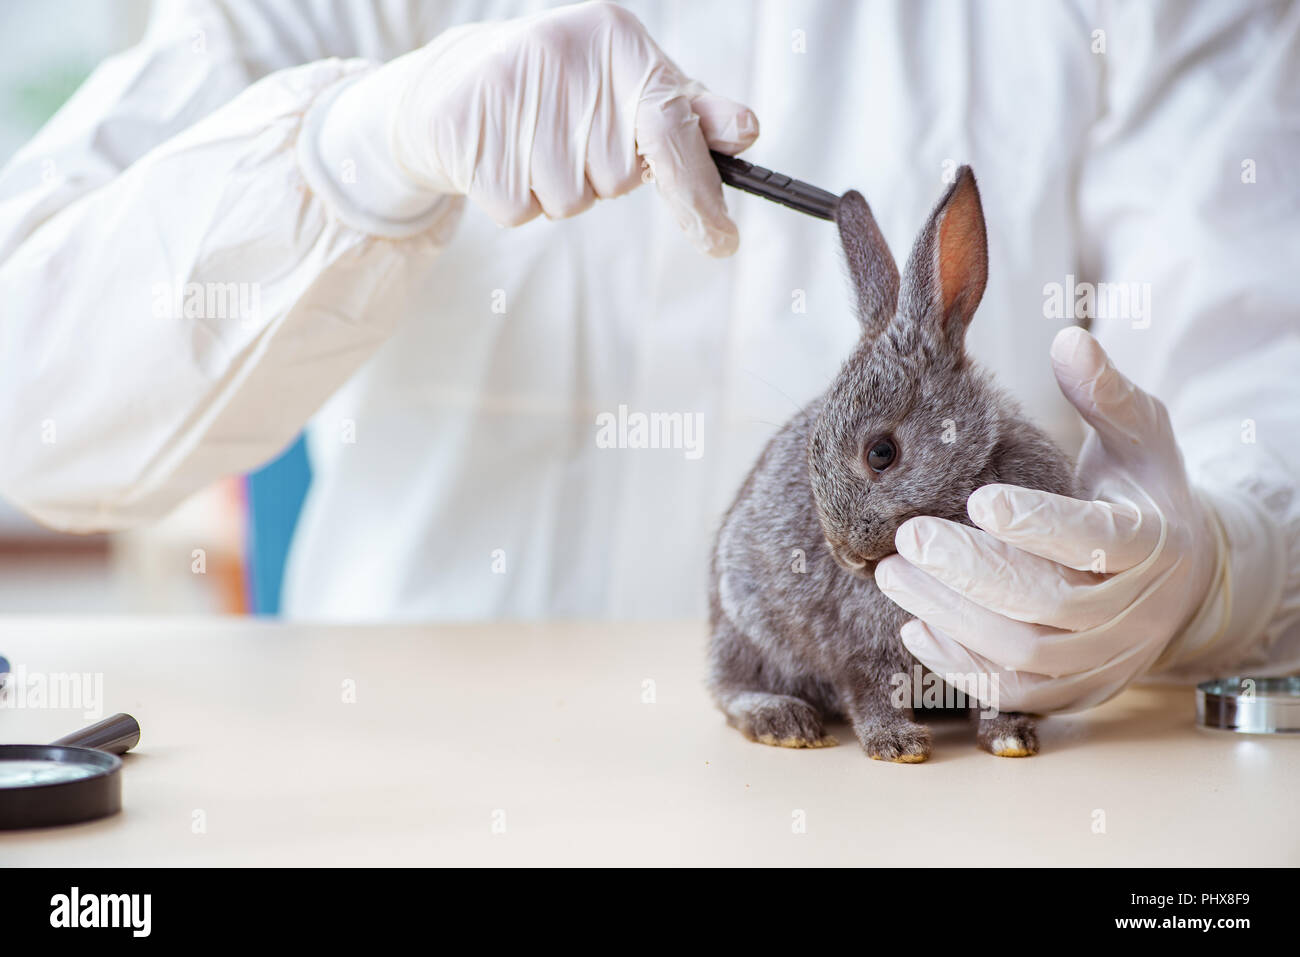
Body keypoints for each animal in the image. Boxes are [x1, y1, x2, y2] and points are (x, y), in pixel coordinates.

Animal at [712, 166, 1076, 764]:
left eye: (881, 453)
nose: (845, 554)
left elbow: (998, 688)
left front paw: (1010, 738)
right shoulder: (859, 644)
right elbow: (870, 687)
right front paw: (897, 744)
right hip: (744, 625)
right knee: (730, 687)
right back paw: (782, 720)